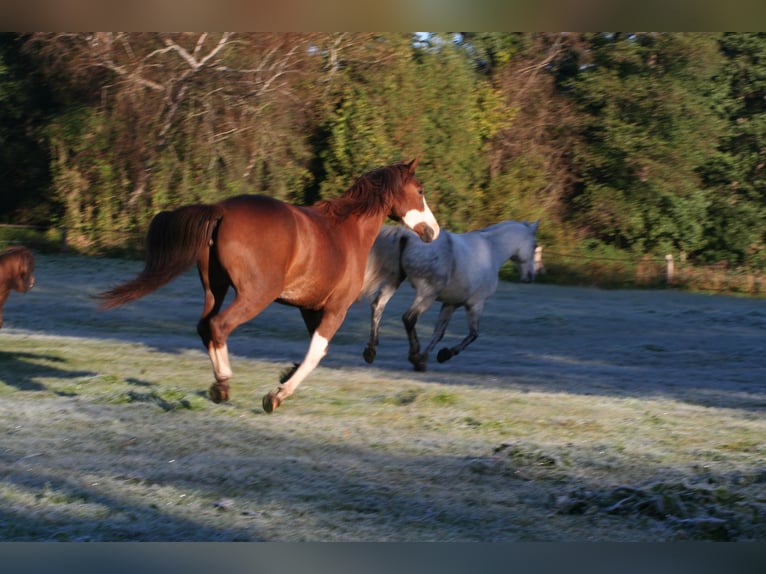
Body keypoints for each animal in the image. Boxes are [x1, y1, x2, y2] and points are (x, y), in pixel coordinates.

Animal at [97, 159, 439, 413]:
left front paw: (286, 373)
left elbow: (315, 351)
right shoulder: (336, 308)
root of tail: (221, 210)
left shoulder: (309, 307)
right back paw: (223, 384)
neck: (348, 232)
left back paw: (221, 382)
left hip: (215, 289)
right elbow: (317, 352)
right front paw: (277, 395)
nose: (433, 232)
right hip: (256, 295)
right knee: (219, 326)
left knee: (204, 326)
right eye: (420, 189)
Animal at [361, 219, 539, 371]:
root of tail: (406, 235)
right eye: (534, 246)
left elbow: (439, 333)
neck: (492, 251)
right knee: (409, 318)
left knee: (378, 307)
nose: (530, 277)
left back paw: (371, 352)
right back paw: (414, 354)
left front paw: (425, 358)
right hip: (427, 293)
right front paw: (443, 355)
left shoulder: (451, 304)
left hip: (394, 281)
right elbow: (473, 334)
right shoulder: (475, 304)